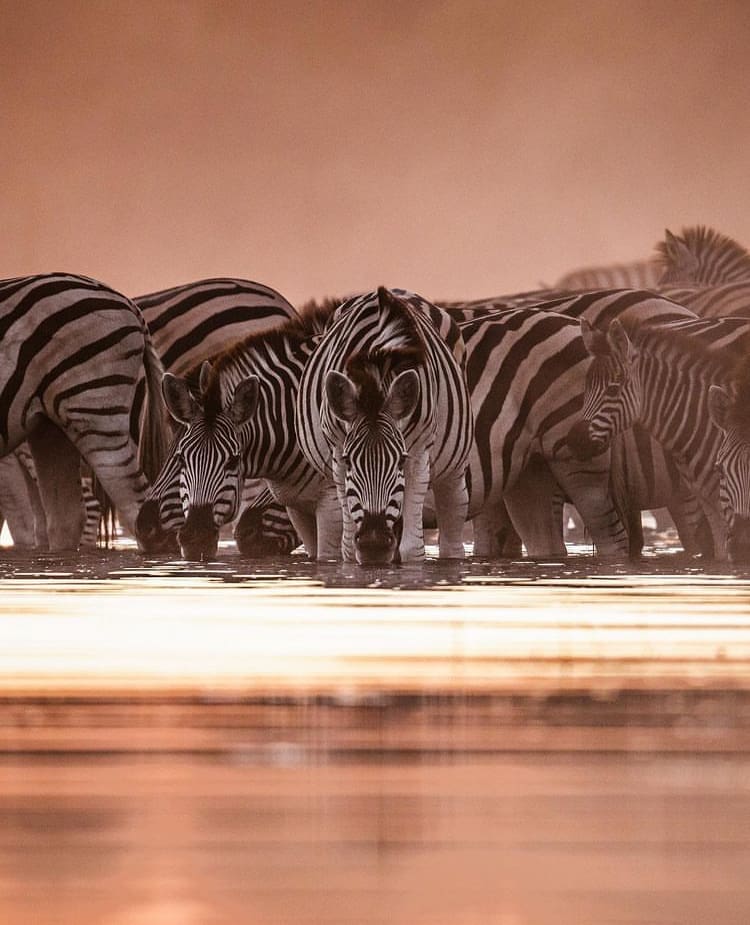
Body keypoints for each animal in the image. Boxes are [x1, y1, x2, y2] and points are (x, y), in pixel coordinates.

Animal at [295, 287, 473, 565]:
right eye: (348, 460)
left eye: (400, 460)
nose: (374, 544)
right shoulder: (337, 452)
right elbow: (348, 550)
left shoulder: (419, 453)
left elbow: (413, 549)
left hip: (454, 468)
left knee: (452, 529)